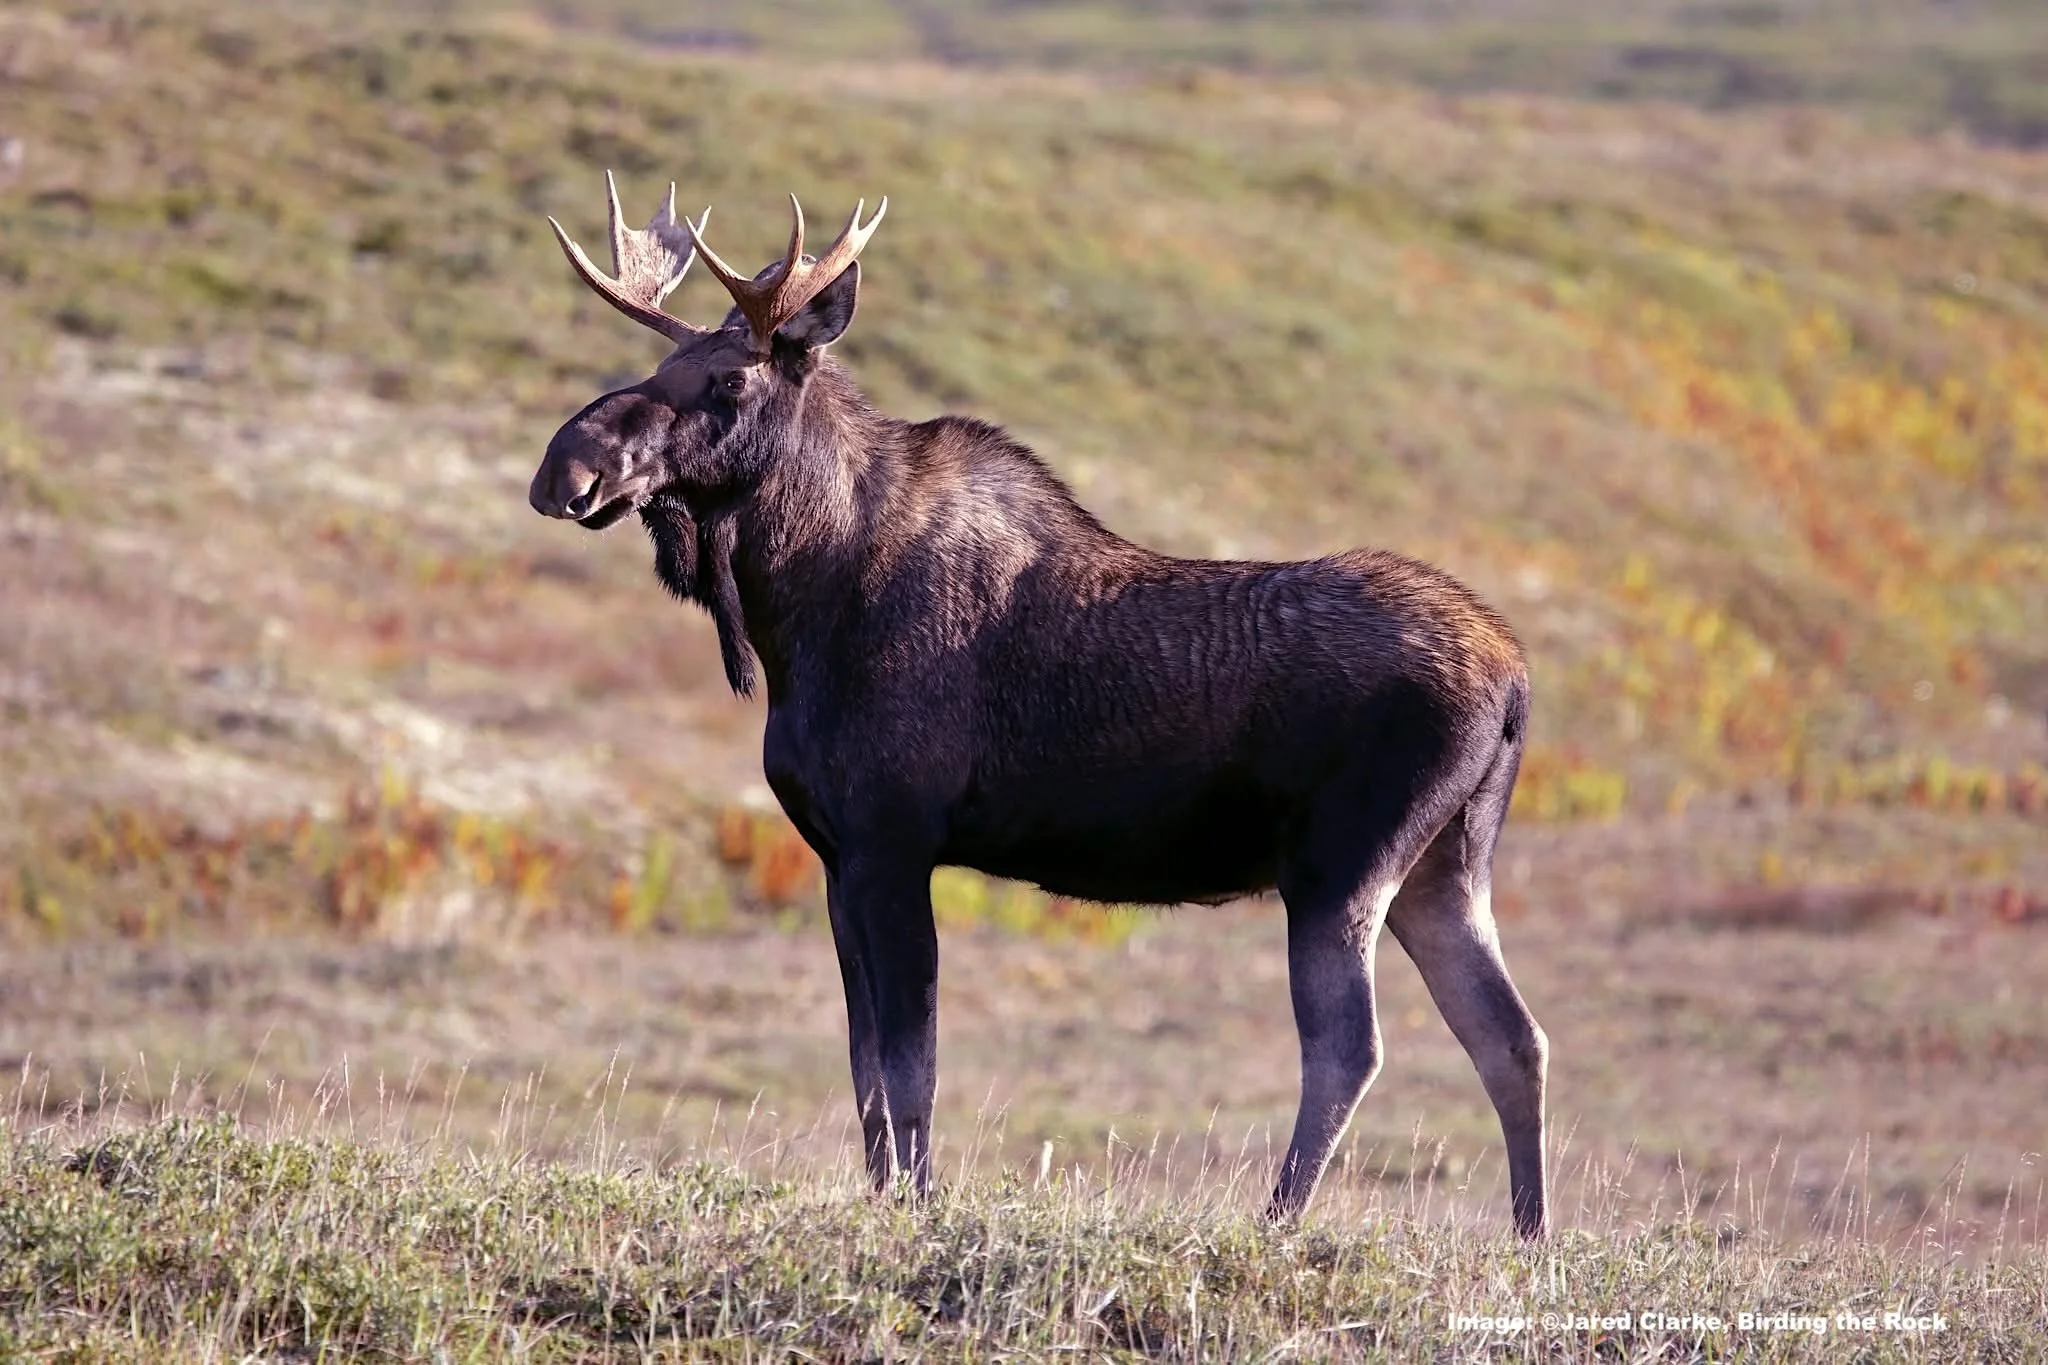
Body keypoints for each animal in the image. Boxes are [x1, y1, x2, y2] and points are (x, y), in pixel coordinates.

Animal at [526, 174, 1553, 1238]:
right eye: (662, 361)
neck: (798, 610)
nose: (569, 467)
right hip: (1443, 865)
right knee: (1512, 1036)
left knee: (1352, 1046)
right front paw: (887, 1198)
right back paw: (1529, 1235)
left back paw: (1277, 1219)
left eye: (729, 380)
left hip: (1341, 868)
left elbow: (911, 1065)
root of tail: (1516, 679)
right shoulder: (838, 857)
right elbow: (863, 1066)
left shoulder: (895, 842)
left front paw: (921, 1206)